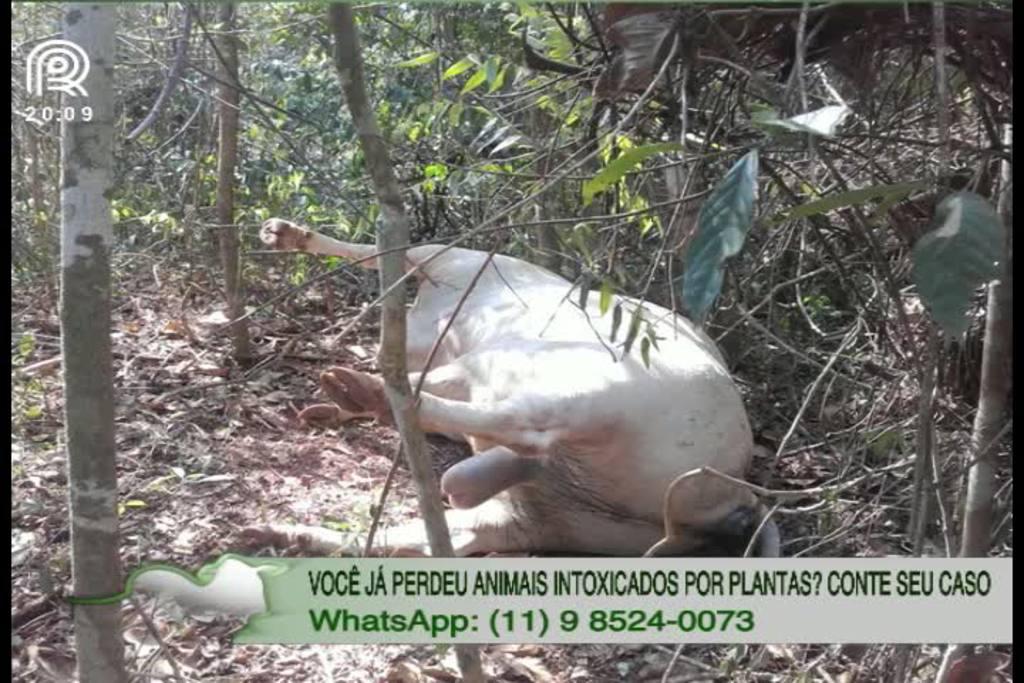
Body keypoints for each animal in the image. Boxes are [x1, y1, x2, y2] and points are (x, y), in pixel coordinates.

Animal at [253, 222, 774, 557]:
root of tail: (741, 499)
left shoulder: (456, 263)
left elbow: (379, 252)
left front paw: (279, 232)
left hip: (600, 395)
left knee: (518, 422)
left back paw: (358, 391)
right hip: (560, 519)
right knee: (444, 528)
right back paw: (278, 530)